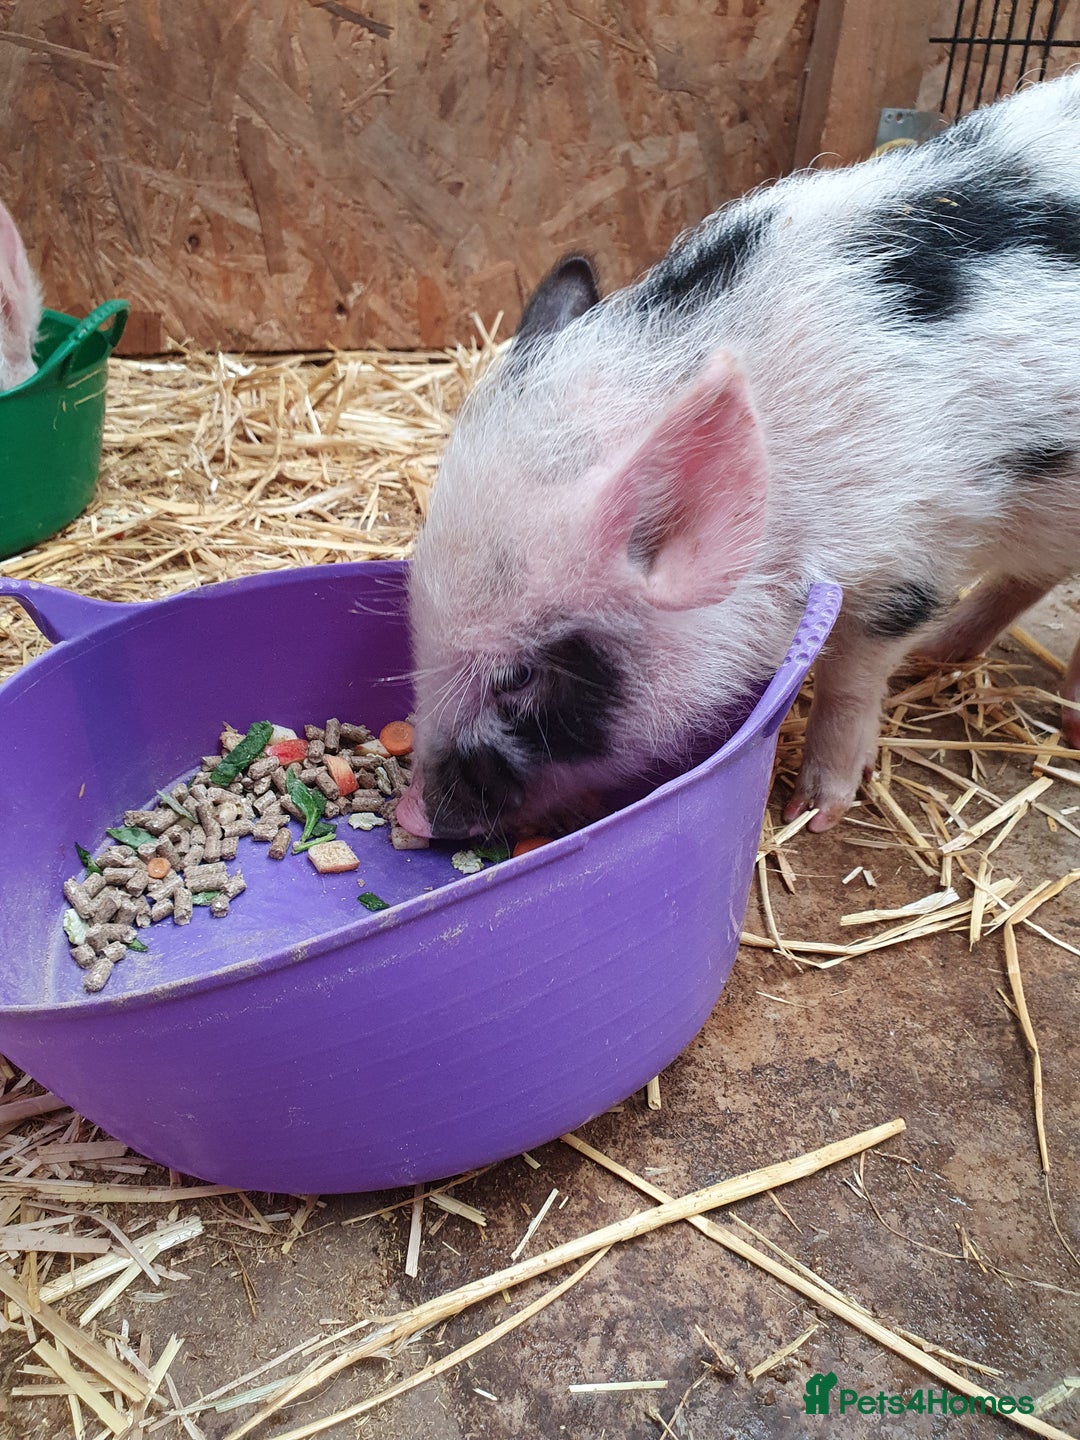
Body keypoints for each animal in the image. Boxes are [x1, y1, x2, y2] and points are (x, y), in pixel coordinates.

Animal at [398, 71, 1080, 842]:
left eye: (519, 678)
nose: (413, 815)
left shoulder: (914, 550)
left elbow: (851, 675)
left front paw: (814, 814)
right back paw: (947, 654)